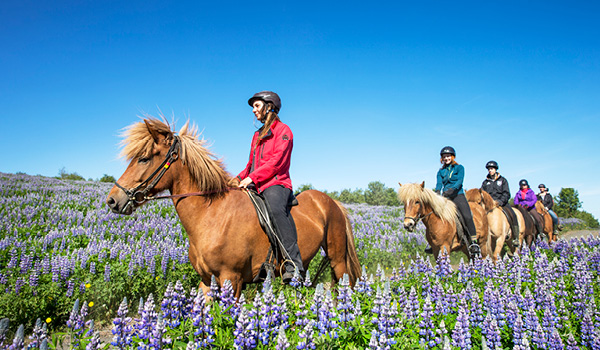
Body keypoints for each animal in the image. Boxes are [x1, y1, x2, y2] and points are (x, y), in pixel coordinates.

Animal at [106, 118, 360, 298]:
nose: (112, 200)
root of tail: (331, 202)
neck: (212, 215)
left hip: (338, 260)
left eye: (144, 158)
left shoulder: (233, 279)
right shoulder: (207, 281)